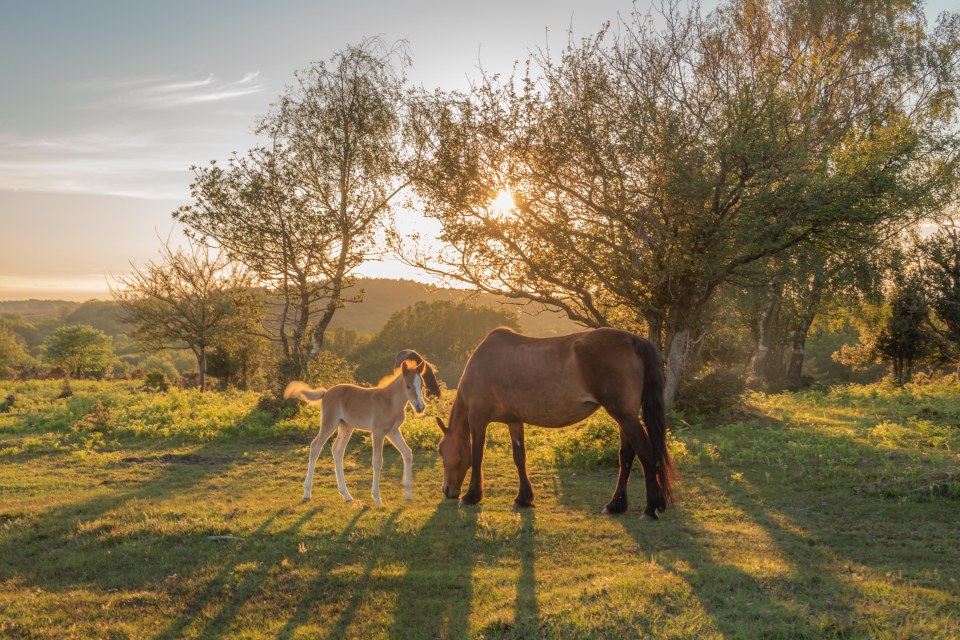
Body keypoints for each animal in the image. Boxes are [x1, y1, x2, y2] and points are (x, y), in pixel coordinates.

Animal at [284, 352, 436, 508]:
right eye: (408, 386)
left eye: (422, 385)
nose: (420, 407)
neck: (390, 402)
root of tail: (326, 393)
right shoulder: (378, 432)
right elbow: (377, 461)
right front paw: (377, 498)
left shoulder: (392, 431)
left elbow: (407, 453)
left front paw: (408, 495)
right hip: (329, 423)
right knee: (315, 447)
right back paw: (307, 493)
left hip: (346, 426)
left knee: (337, 451)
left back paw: (346, 495)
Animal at [436, 328, 676, 516]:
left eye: (441, 449)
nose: (448, 490)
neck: (481, 366)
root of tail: (634, 341)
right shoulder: (514, 420)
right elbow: (519, 458)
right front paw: (524, 498)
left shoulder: (478, 419)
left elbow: (477, 456)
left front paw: (471, 496)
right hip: (625, 417)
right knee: (626, 456)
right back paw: (615, 505)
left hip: (624, 416)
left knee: (646, 454)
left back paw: (650, 508)